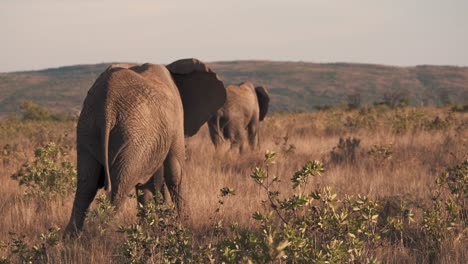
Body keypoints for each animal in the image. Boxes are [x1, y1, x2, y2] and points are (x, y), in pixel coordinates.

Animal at [65, 57, 226, 235]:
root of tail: (107, 107)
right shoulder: (176, 118)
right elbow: (175, 172)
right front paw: (185, 228)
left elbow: (147, 183)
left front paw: (148, 229)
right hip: (133, 135)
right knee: (119, 186)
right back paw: (100, 236)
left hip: (89, 129)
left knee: (86, 185)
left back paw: (70, 238)